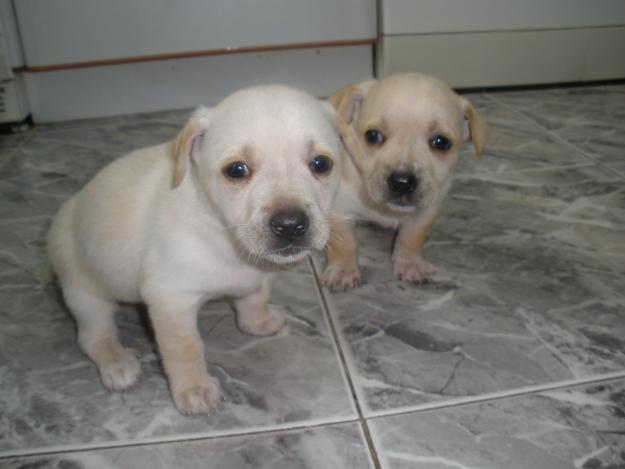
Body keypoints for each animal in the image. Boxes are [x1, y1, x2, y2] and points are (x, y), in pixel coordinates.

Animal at [46, 85, 344, 414]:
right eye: (236, 170)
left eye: (321, 164)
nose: (290, 224)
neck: (223, 234)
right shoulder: (172, 300)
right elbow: (185, 348)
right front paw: (193, 389)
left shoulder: (257, 276)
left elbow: (255, 298)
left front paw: (257, 322)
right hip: (84, 295)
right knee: (93, 335)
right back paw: (117, 363)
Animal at [322, 72, 488, 288]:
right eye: (372, 135)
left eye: (441, 142)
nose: (402, 182)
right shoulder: (339, 213)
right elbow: (344, 244)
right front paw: (343, 271)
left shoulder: (425, 213)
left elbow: (411, 239)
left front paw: (409, 264)